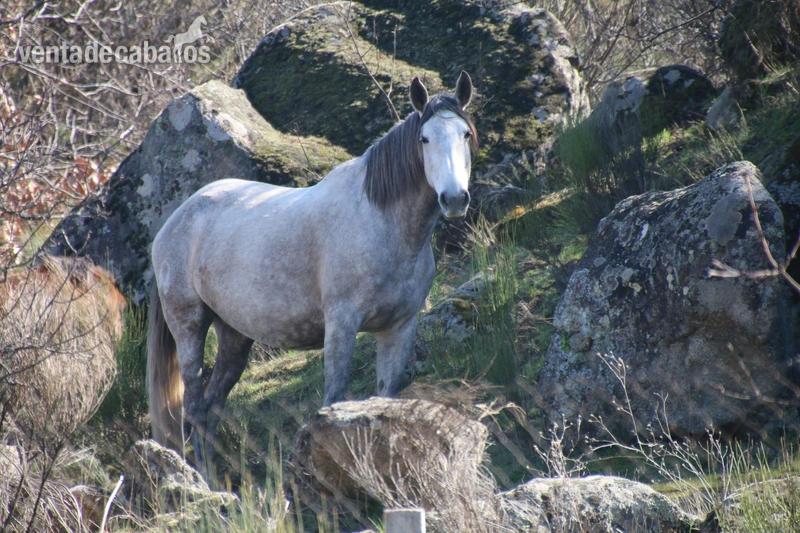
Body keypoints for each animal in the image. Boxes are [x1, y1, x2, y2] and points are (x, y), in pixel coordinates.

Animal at [147, 72, 478, 472]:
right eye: (424, 139)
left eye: (465, 133)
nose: (454, 199)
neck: (383, 224)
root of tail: (174, 221)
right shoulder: (341, 324)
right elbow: (333, 400)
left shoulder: (399, 327)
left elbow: (386, 397)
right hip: (190, 327)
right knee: (194, 408)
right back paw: (203, 479)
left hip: (235, 335)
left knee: (212, 407)